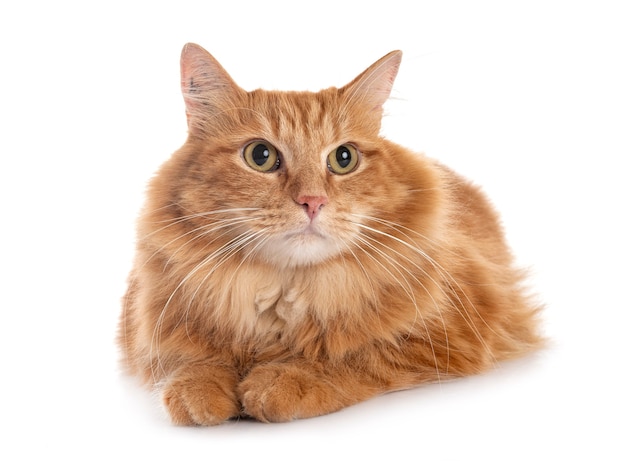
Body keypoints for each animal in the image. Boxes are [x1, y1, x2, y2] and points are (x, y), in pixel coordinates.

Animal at [117, 43, 540, 424]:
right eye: (260, 156)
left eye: (344, 158)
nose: (313, 201)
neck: (287, 294)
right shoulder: (151, 327)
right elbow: (194, 360)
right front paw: (199, 389)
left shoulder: (449, 335)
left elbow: (354, 354)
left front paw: (284, 381)